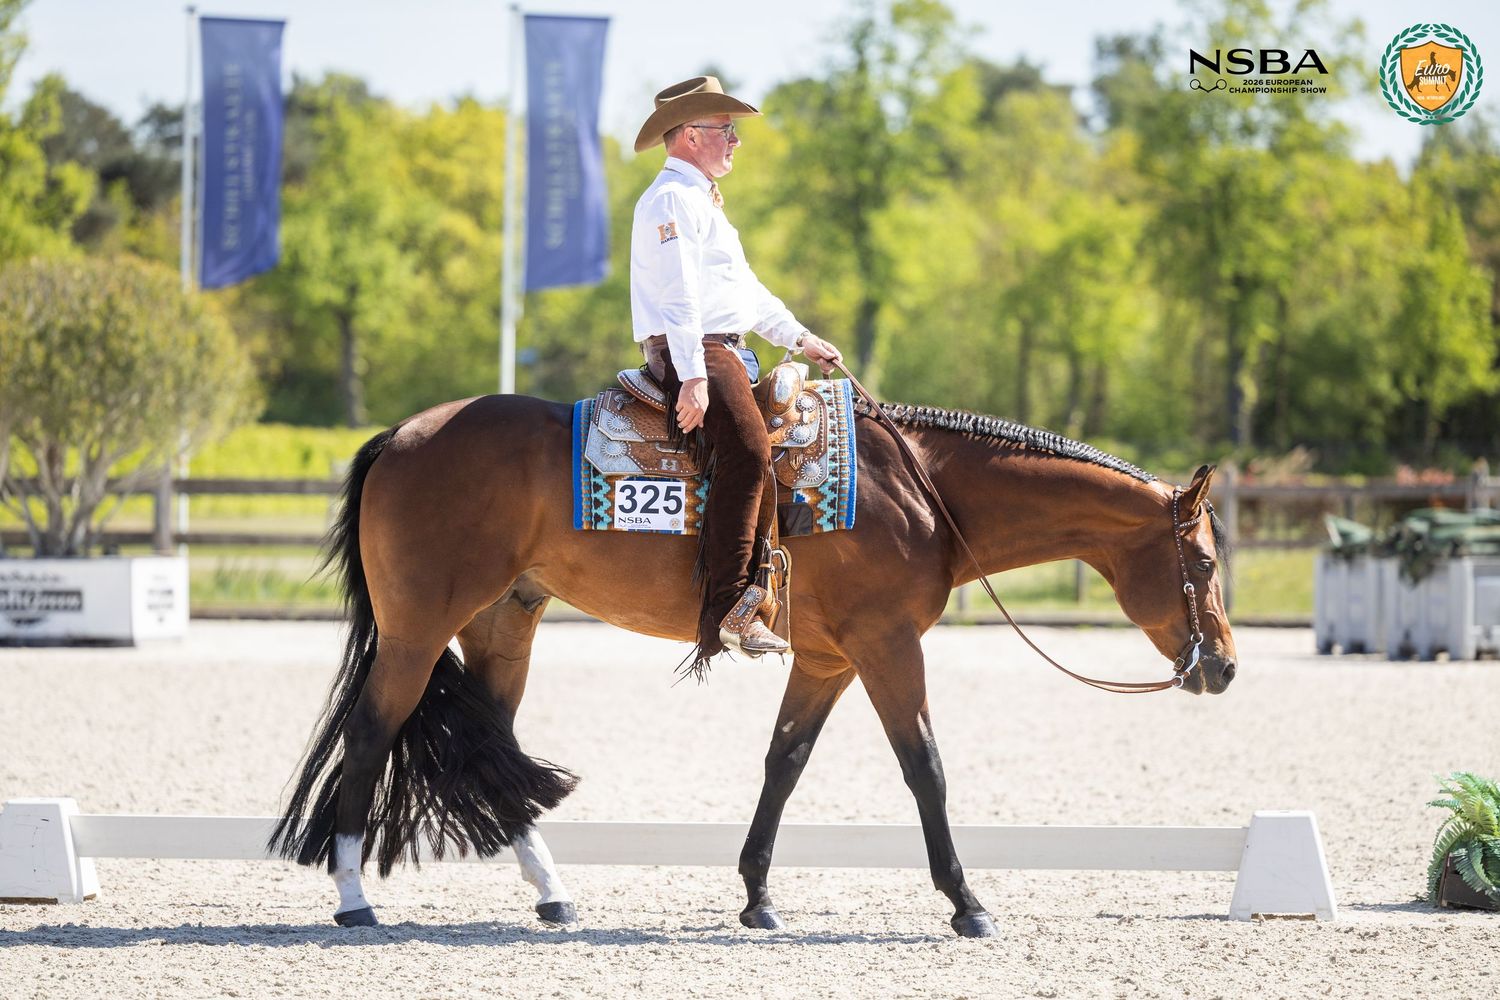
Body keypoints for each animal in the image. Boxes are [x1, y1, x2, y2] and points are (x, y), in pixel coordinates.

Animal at [269, 387, 1237, 938]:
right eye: (1204, 562)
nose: (1223, 668)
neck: (923, 492)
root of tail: (400, 435)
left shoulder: (828, 659)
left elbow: (785, 762)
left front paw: (758, 897)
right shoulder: (888, 646)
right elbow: (925, 766)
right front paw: (967, 904)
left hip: (504, 624)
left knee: (488, 748)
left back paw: (552, 892)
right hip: (417, 629)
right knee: (371, 734)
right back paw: (353, 899)